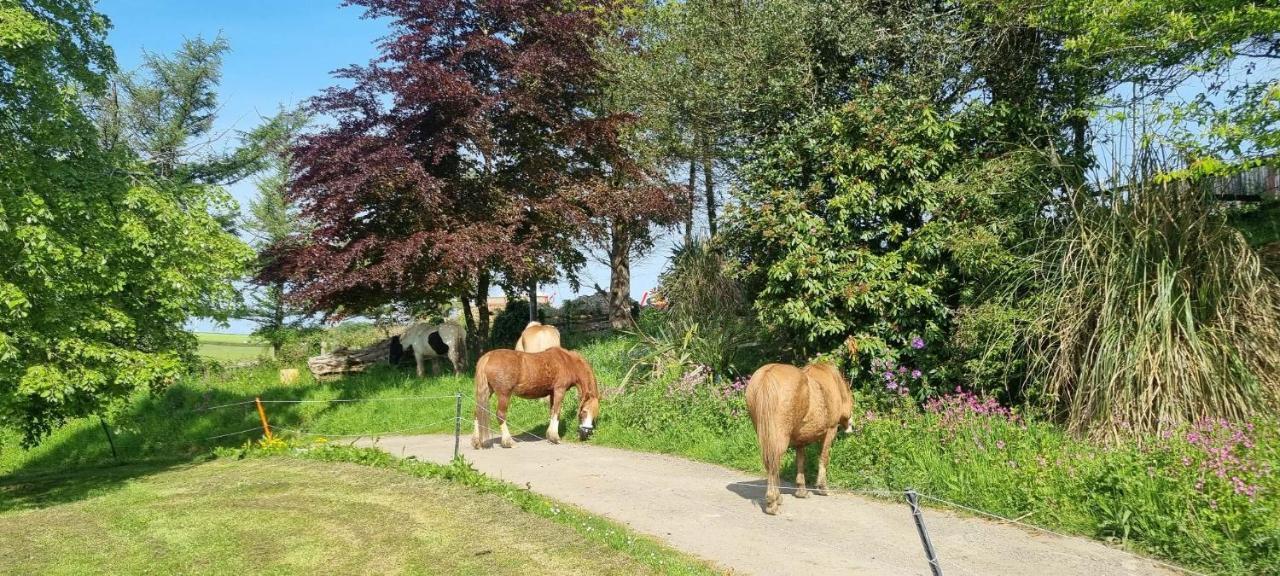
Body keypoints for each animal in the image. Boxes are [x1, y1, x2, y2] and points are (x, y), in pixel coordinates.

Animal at [473, 343, 601, 448]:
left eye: (595, 414)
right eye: (584, 411)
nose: (585, 433)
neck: (567, 361)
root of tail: (488, 357)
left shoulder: (552, 393)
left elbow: (552, 411)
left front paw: (550, 436)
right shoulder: (559, 390)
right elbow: (557, 412)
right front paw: (555, 438)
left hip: (488, 391)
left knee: (477, 412)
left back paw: (476, 442)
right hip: (504, 394)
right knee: (500, 415)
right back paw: (508, 442)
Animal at [747, 363, 855, 514]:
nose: (851, 425)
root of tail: (767, 375)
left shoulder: (800, 441)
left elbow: (800, 462)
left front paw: (801, 491)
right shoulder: (830, 431)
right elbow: (824, 458)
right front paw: (822, 487)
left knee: (771, 465)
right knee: (774, 464)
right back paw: (773, 501)